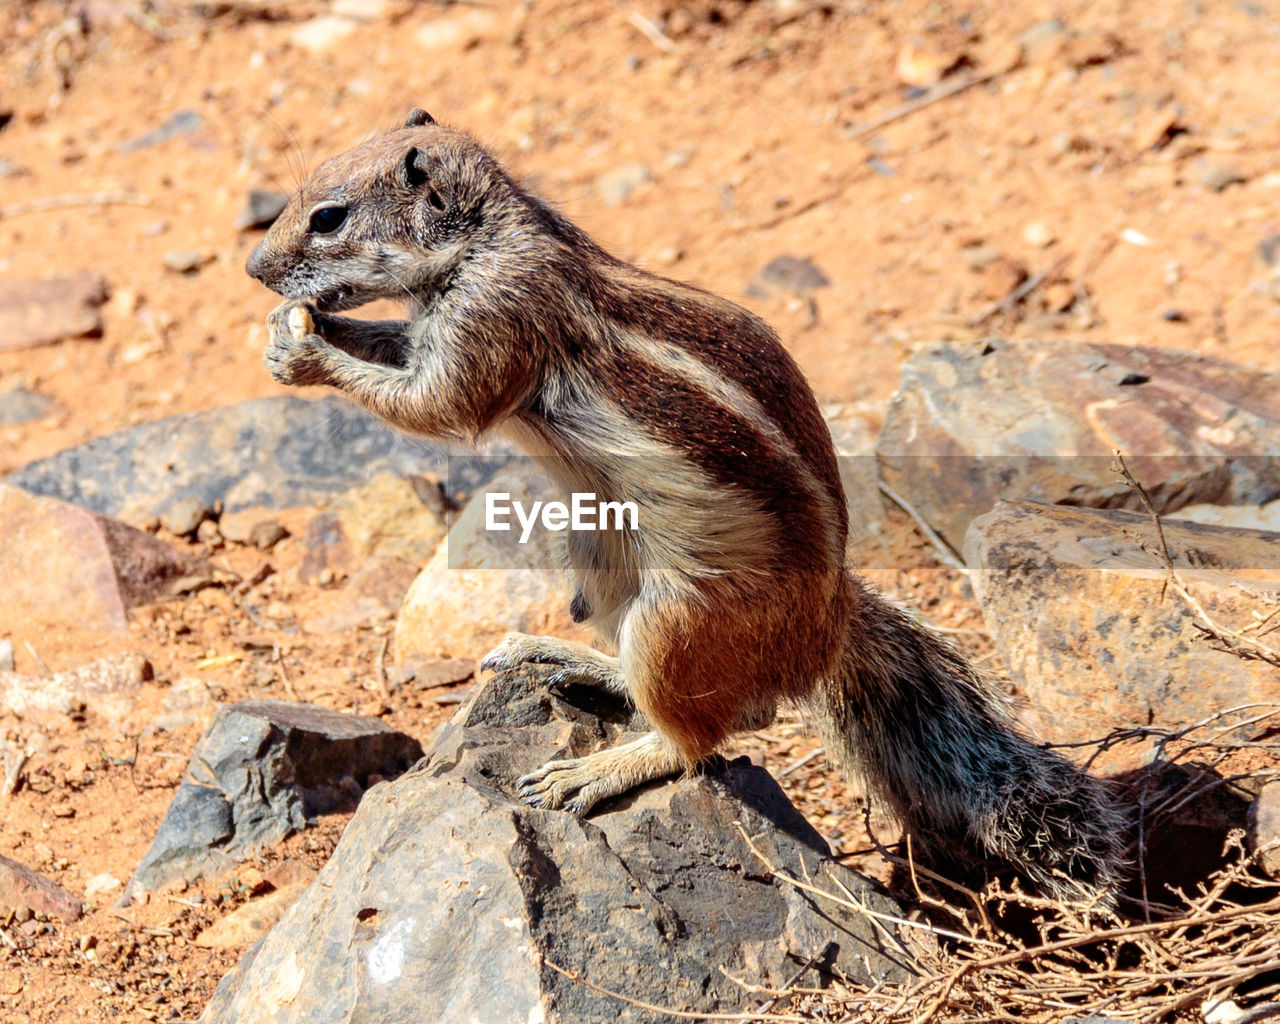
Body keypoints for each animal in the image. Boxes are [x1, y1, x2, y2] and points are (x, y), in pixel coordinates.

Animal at [244, 108, 1126, 901]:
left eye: (329, 217)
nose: (254, 268)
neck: (489, 234)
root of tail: (826, 627)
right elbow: (398, 351)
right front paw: (294, 334)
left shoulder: (492, 318)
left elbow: (436, 405)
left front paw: (305, 349)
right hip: (598, 556)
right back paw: (563, 657)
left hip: (682, 619)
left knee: (706, 735)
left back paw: (594, 772)